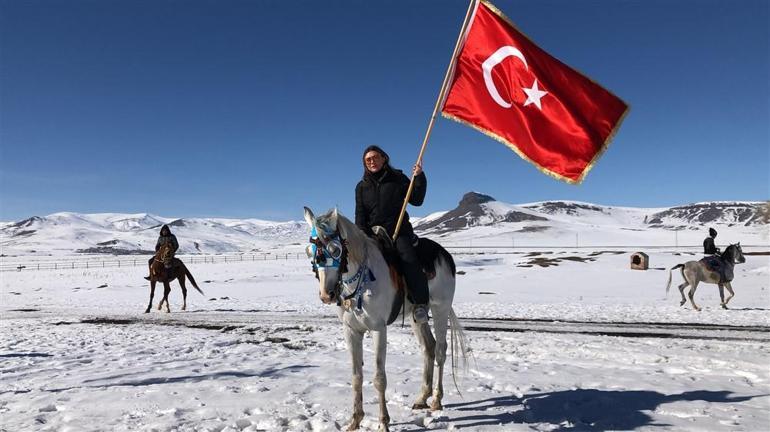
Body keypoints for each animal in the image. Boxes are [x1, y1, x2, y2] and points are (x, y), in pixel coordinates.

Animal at [304, 208, 464, 430]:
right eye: (309, 251)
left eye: (335, 250)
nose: (327, 295)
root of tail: (444, 255)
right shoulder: (351, 331)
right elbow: (356, 376)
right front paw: (355, 420)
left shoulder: (378, 329)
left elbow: (379, 378)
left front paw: (383, 423)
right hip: (416, 316)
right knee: (428, 348)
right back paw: (421, 398)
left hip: (441, 308)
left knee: (441, 350)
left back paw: (436, 400)